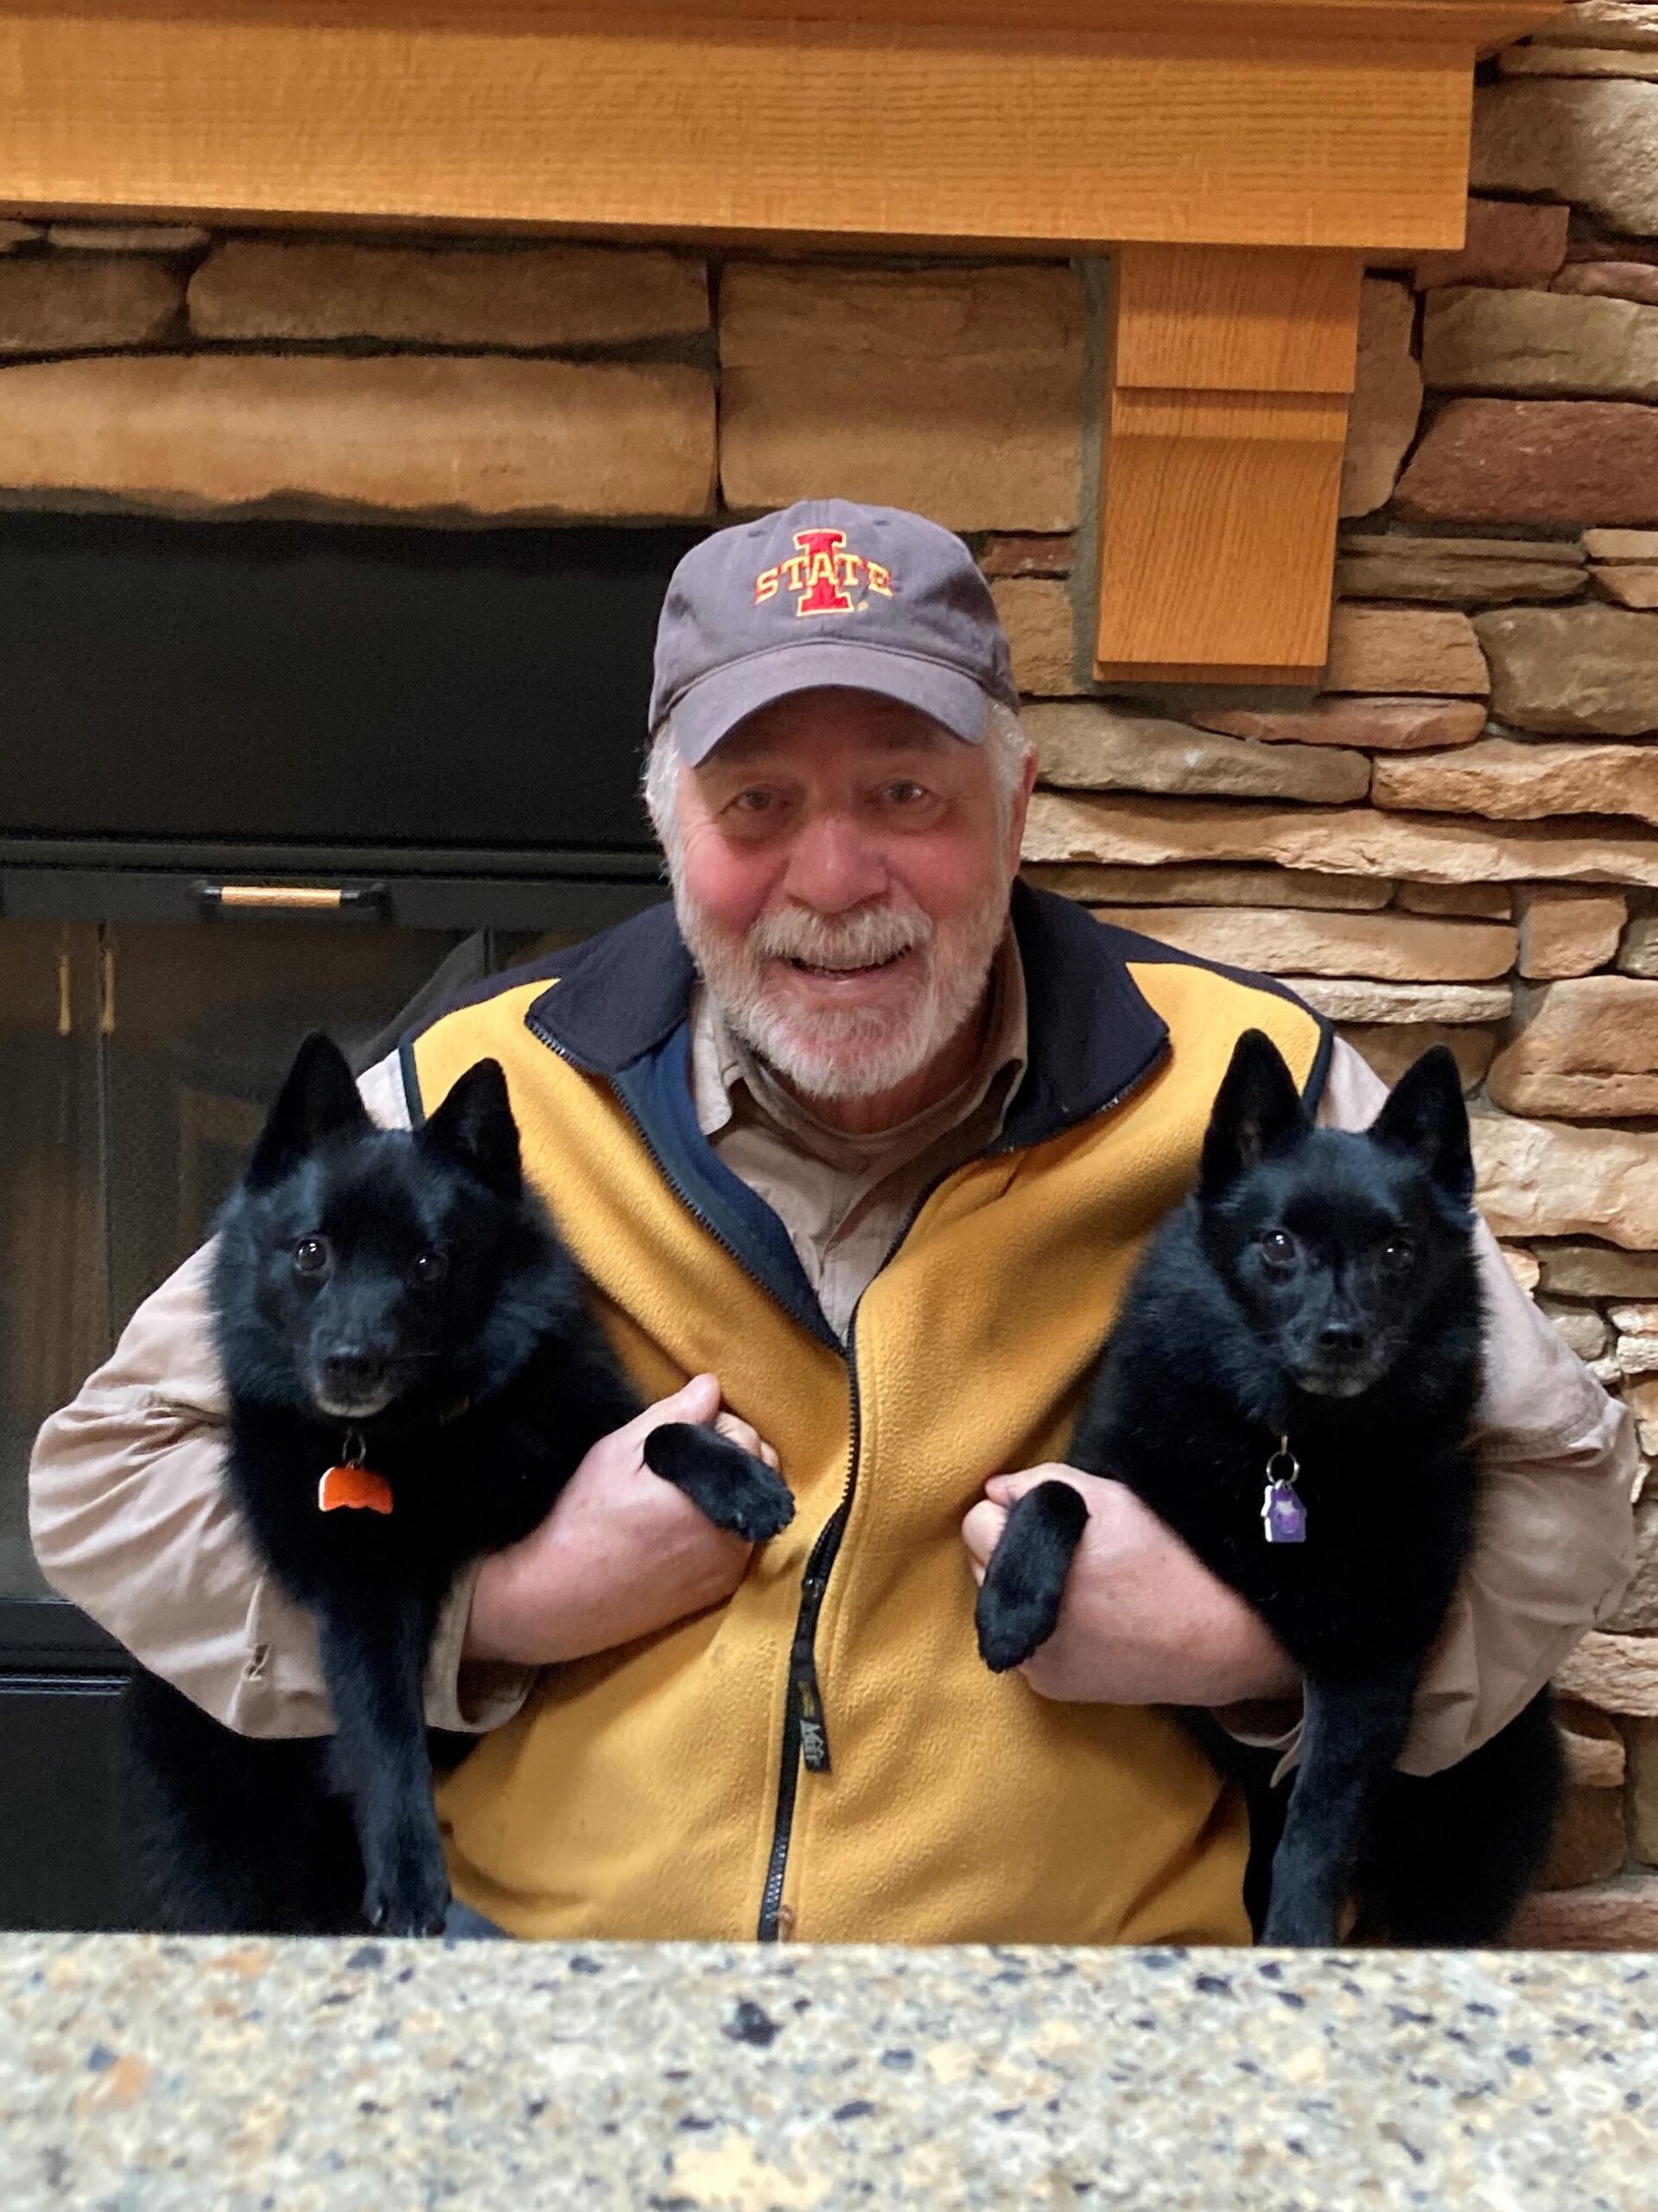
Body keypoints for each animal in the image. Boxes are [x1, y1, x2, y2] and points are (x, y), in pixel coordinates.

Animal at [124, 1035, 800, 1937]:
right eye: (311, 1252)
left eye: (427, 1263)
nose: (349, 1364)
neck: (426, 1435)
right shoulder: (360, 1594)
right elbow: (385, 1730)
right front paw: (410, 1875)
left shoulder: (576, 1421)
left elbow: (654, 1429)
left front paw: (736, 1478)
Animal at [972, 1026, 1556, 1946]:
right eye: (1276, 1245)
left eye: (1396, 1253)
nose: (1340, 1336)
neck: (1288, 1443)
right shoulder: (1107, 1470)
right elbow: (1057, 1492)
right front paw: (1010, 1607)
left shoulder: (1370, 1660)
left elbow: (1320, 1821)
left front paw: (1297, 1939)